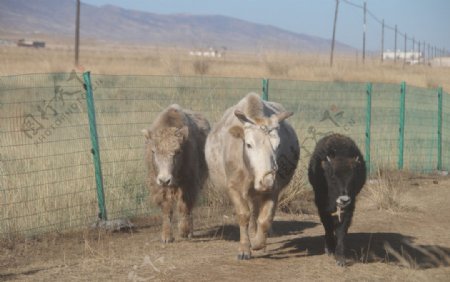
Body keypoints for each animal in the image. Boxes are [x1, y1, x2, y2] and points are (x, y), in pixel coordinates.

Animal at [205, 93, 298, 260]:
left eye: (278, 145)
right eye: (249, 144)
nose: (266, 181)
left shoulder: (274, 189)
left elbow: (265, 219)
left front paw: (258, 243)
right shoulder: (234, 187)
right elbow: (244, 215)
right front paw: (244, 248)